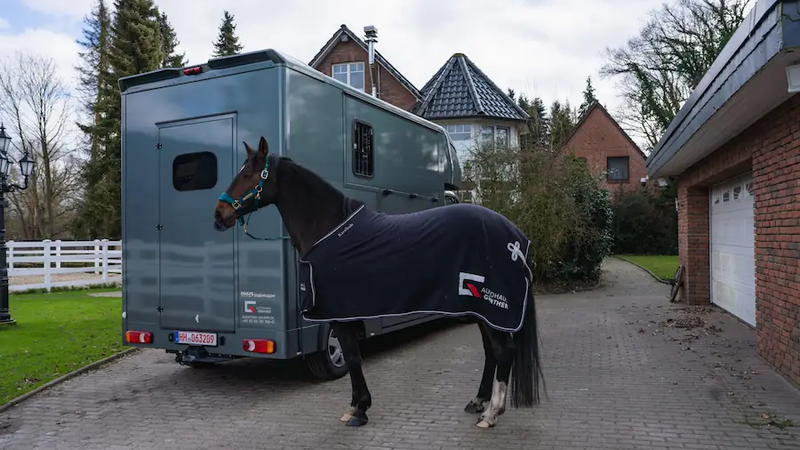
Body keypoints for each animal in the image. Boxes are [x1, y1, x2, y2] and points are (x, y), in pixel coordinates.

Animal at [212, 136, 544, 429]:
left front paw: (359, 409)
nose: (219, 213)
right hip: (483, 310)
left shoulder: (341, 313)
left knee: (504, 351)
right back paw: (478, 401)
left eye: (247, 174)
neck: (329, 229)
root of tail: (515, 239)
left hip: (492, 306)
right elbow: (353, 358)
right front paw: (356, 406)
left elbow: (352, 357)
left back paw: (491, 412)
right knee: (491, 351)